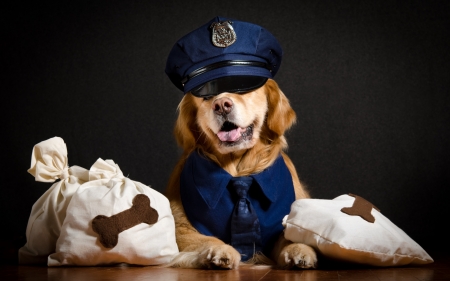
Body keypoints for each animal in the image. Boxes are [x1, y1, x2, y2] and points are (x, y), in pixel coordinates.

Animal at [165, 79, 316, 270]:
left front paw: (300, 249)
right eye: (206, 97)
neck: (238, 170)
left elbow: (291, 234)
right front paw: (221, 251)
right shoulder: (180, 227)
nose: (222, 105)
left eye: (243, 90)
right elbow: (207, 239)